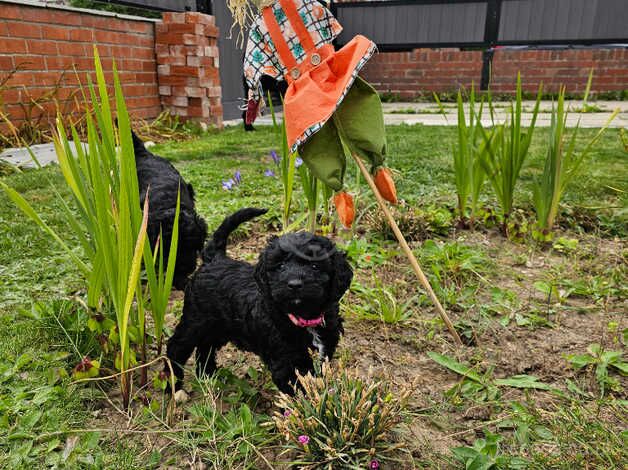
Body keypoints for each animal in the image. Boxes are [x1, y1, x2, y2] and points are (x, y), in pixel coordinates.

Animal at [166, 207, 354, 394]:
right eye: (280, 266)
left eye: (315, 265)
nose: (294, 284)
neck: (301, 318)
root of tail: (214, 259)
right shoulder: (285, 362)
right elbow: (299, 390)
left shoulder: (325, 348)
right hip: (194, 320)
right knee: (176, 347)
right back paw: (173, 386)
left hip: (217, 327)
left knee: (206, 347)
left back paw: (207, 375)